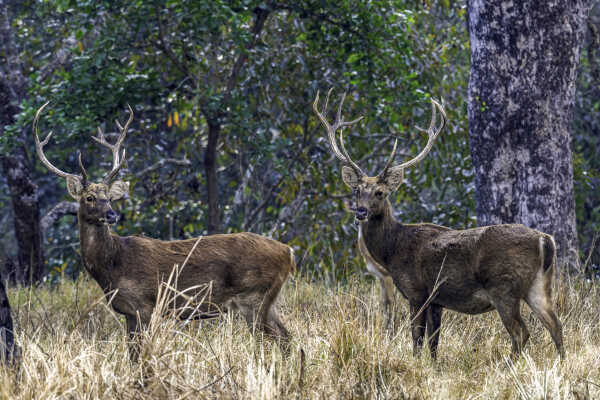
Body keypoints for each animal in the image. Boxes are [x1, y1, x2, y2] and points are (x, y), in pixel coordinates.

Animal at [33, 102, 296, 356]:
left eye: (108, 197)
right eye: (89, 198)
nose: (111, 214)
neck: (113, 265)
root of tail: (289, 252)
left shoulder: (145, 305)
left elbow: (140, 355)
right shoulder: (130, 312)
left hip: (253, 296)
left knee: (279, 339)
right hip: (266, 300)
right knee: (289, 339)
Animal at [314, 90, 564, 360]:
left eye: (380, 193)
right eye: (357, 190)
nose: (361, 211)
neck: (392, 249)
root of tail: (545, 240)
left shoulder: (417, 291)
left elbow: (417, 338)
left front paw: (415, 363)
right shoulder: (437, 300)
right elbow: (434, 342)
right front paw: (433, 365)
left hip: (503, 286)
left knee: (521, 332)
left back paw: (509, 364)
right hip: (539, 284)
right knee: (555, 325)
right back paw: (561, 363)